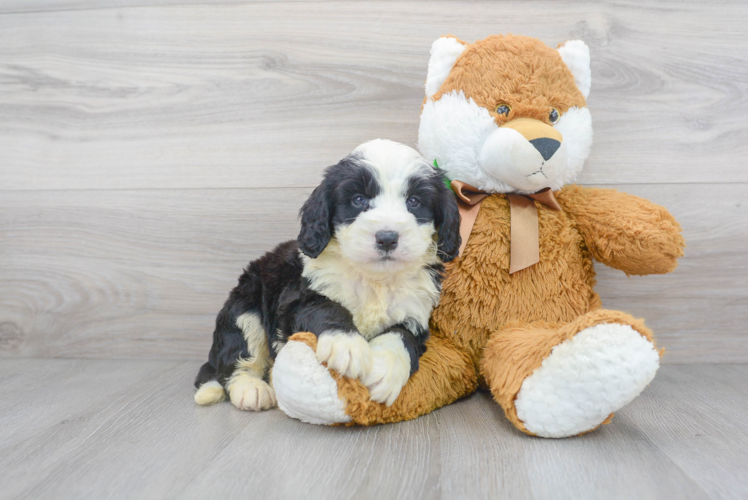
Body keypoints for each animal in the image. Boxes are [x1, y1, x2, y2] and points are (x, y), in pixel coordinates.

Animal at [191, 140, 462, 410]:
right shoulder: (298, 298)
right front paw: (347, 345)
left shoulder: (415, 313)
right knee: (237, 357)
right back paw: (251, 389)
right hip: (245, 304)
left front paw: (384, 368)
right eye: (359, 199)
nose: (387, 238)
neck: (374, 278)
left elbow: (401, 336)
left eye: (414, 201)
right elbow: (327, 308)